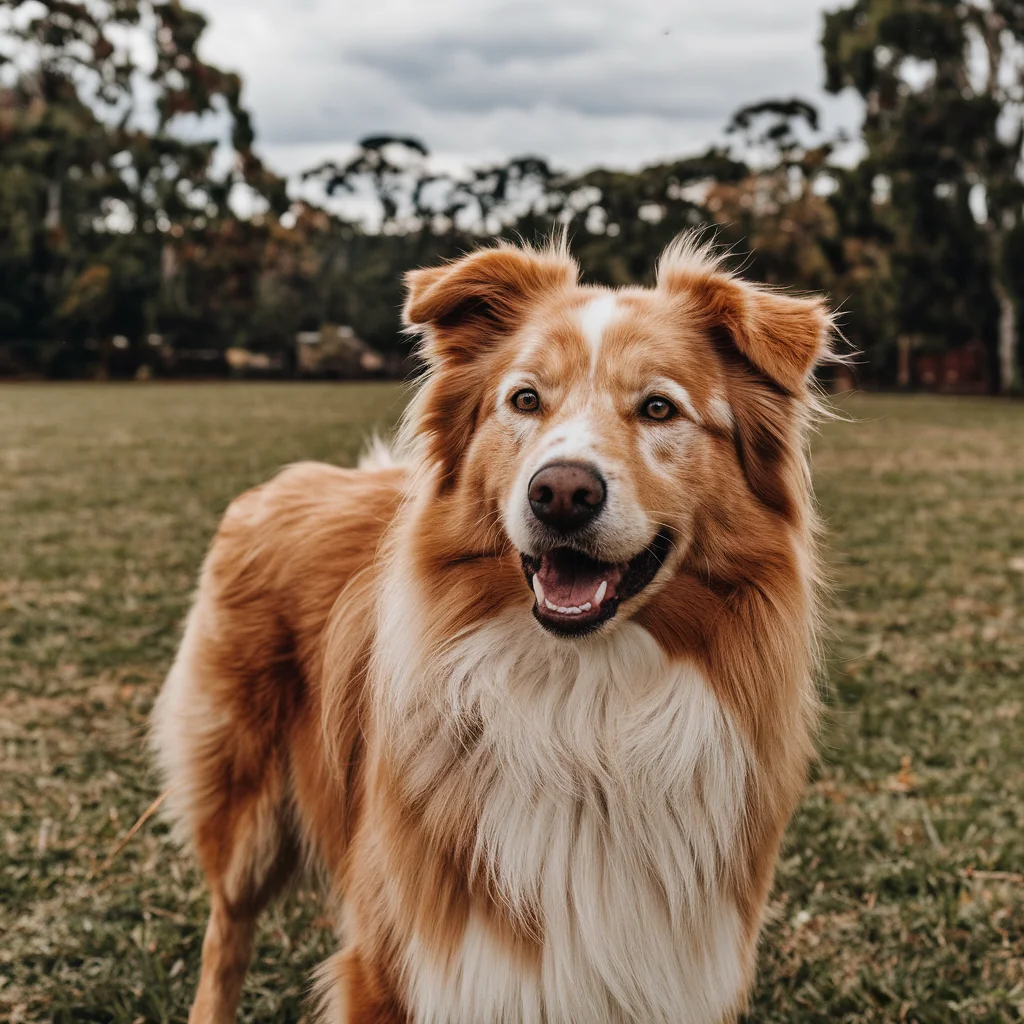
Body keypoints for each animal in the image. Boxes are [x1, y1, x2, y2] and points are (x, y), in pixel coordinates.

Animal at [155, 235, 835, 1024]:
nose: (561, 492)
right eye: (526, 399)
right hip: (247, 812)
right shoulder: (398, 967)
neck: (586, 710)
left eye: (659, 408)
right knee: (226, 934)